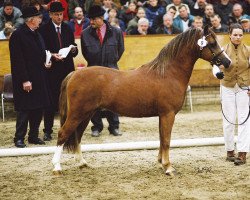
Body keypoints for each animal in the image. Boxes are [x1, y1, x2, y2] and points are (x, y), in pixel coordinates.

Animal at [52, 26, 230, 175]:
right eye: (212, 43)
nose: (227, 62)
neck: (168, 73)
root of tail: (74, 74)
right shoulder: (168, 114)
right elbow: (166, 140)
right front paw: (168, 167)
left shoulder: (162, 115)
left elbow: (161, 138)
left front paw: (161, 162)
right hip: (77, 114)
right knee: (63, 134)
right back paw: (57, 168)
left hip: (86, 114)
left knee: (77, 136)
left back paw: (82, 163)